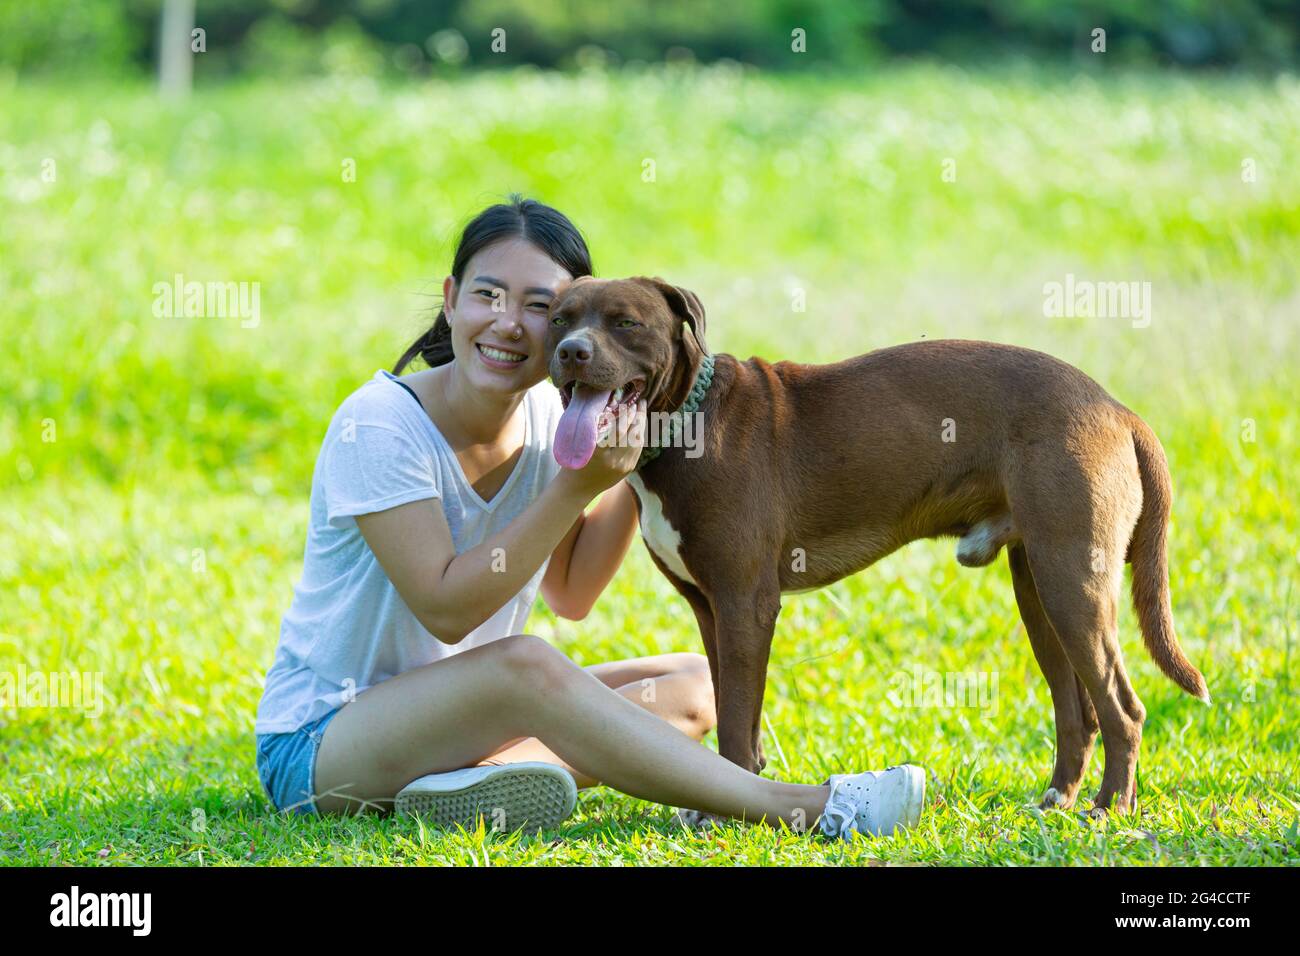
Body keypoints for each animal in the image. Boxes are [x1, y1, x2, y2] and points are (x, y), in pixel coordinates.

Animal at [546, 274, 1206, 816]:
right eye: (558, 317)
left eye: (625, 323)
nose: (572, 350)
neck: (688, 419)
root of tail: (1116, 408)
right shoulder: (710, 610)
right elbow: (742, 715)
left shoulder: (743, 604)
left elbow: (734, 722)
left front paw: (720, 812)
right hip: (1040, 590)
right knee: (1078, 713)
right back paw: (1058, 801)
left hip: (1073, 583)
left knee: (1122, 709)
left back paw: (1110, 809)